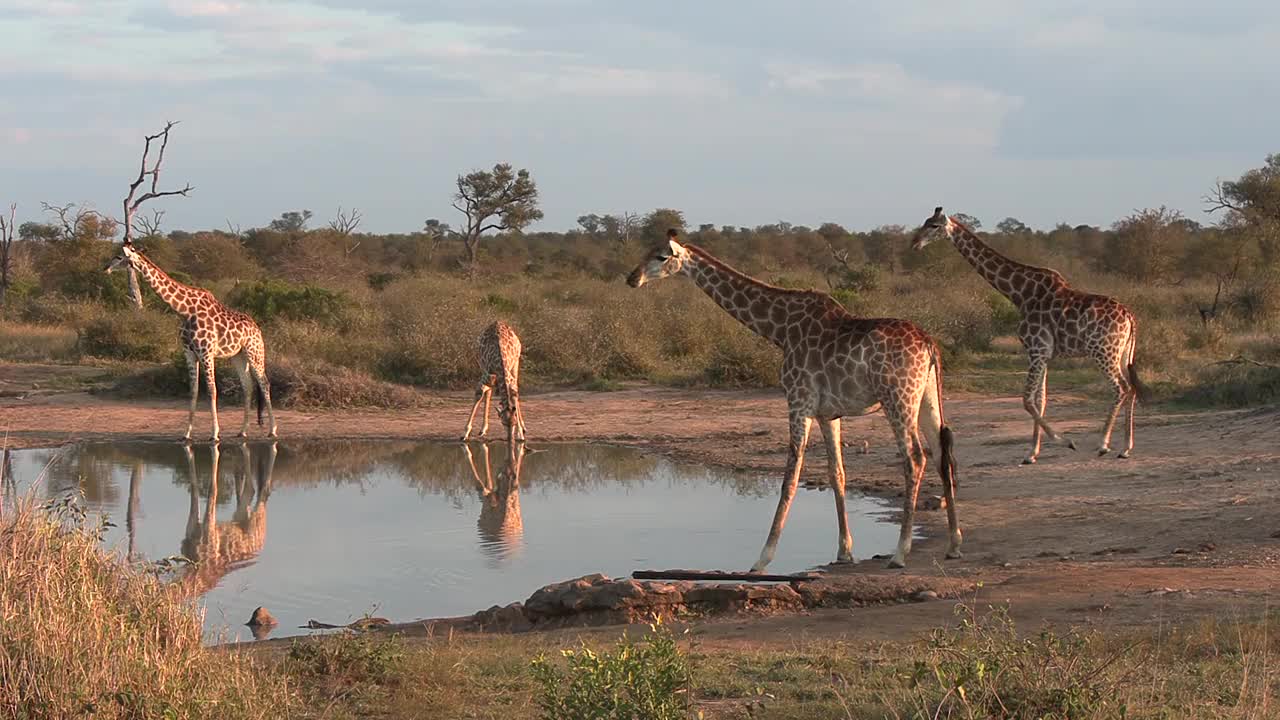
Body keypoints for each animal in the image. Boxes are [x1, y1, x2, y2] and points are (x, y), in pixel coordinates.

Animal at [106, 240, 276, 440]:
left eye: (119, 256)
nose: (106, 268)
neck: (185, 311)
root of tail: (257, 328)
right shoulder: (189, 352)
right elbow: (193, 390)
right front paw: (186, 433)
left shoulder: (206, 352)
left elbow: (211, 389)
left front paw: (214, 433)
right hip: (238, 355)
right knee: (248, 385)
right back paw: (242, 431)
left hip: (254, 352)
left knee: (264, 383)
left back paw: (272, 430)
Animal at [624, 228, 957, 566]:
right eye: (645, 251)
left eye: (661, 257)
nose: (632, 278)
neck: (780, 330)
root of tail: (929, 343)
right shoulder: (827, 413)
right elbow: (837, 474)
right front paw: (844, 551)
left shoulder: (798, 402)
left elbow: (790, 478)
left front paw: (762, 559)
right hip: (926, 398)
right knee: (941, 454)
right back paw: (954, 544)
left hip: (898, 399)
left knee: (915, 459)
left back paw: (900, 552)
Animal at [911, 206, 1141, 466]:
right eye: (925, 222)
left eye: (934, 226)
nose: (915, 243)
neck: (1020, 294)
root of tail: (1130, 317)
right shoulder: (1044, 354)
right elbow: (1040, 400)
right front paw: (1032, 453)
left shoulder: (1036, 350)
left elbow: (1026, 399)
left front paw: (1065, 442)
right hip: (1123, 354)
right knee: (1132, 388)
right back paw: (1125, 448)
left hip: (1103, 352)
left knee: (1121, 387)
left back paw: (1103, 445)